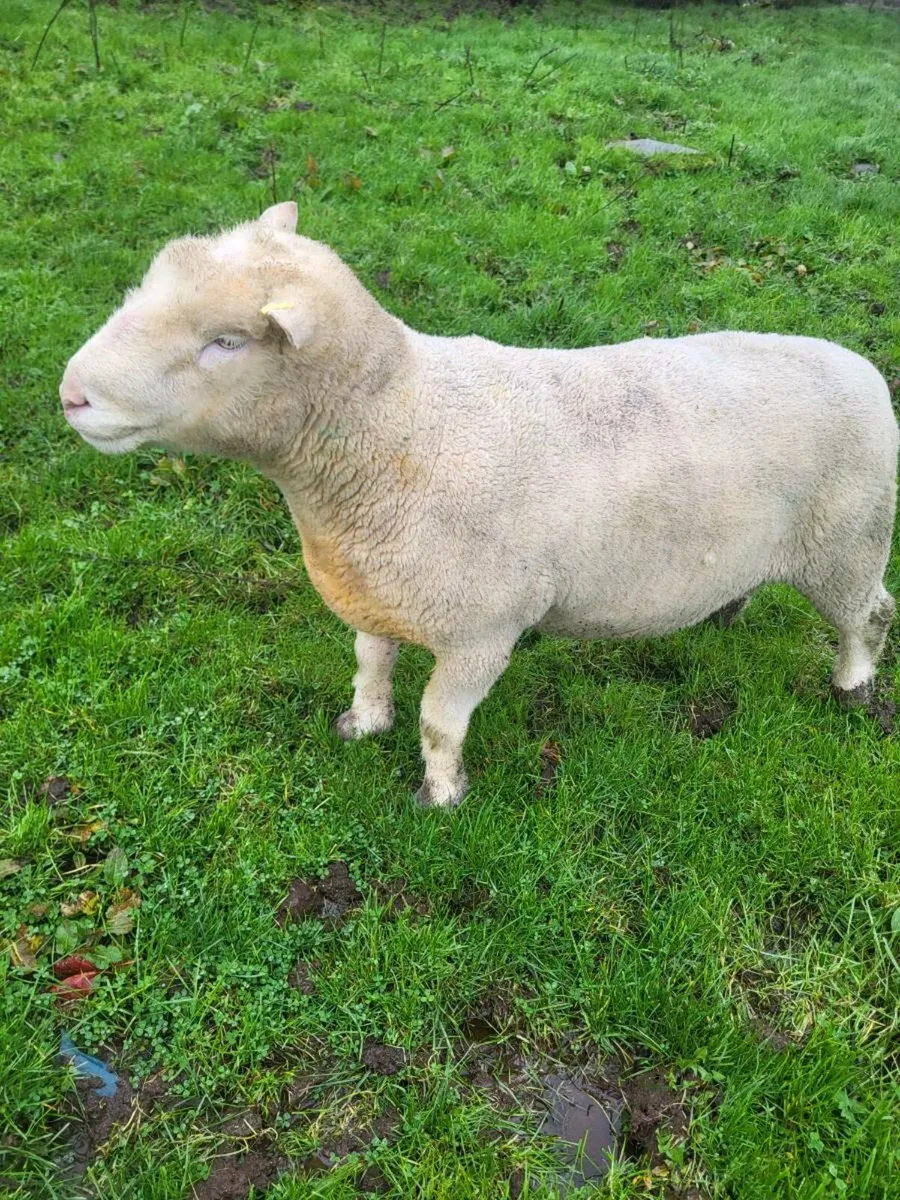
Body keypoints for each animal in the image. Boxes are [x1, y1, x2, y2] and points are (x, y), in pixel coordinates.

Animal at [59, 202, 898, 807]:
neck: (397, 431)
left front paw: (442, 794)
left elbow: (439, 722)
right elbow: (370, 665)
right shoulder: (377, 593)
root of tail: (860, 366)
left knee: (871, 616)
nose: (72, 395)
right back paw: (727, 612)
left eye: (226, 343)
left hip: (849, 541)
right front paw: (363, 724)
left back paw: (853, 687)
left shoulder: (483, 631)